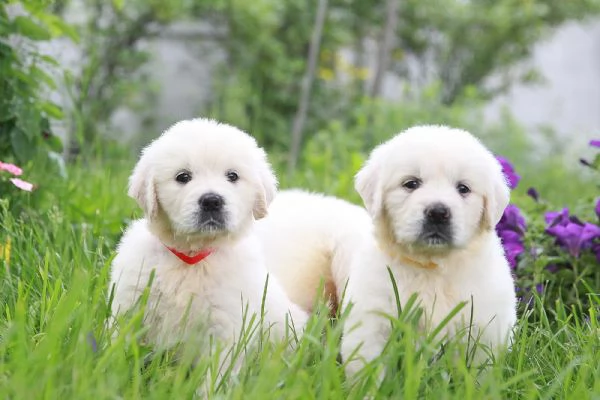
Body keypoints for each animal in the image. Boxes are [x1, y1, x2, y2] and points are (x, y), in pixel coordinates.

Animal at [109, 117, 310, 354]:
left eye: (232, 176)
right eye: (183, 177)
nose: (212, 201)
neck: (192, 255)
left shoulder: (225, 321)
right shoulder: (129, 302)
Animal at [340, 126, 516, 378]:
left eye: (463, 188)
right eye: (411, 184)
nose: (438, 212)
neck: (433, 266)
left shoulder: (486, 328)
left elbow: (481, 373)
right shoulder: (371, 320)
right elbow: (368, 367)